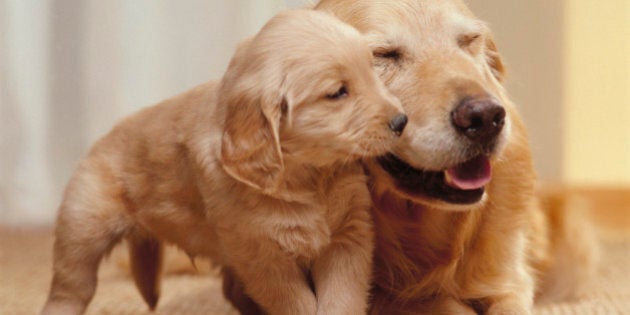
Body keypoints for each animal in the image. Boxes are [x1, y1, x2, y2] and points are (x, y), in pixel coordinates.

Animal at [43, 9, 410, 315]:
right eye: (337, 92)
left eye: (373, 71)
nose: (401, 121)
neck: (308, 175)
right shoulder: (263, 254)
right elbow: (296, 303)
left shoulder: (348, 238)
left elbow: (341, 297)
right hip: (82, 227)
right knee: (70, 287)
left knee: (233, 290)